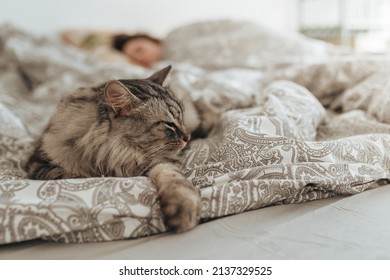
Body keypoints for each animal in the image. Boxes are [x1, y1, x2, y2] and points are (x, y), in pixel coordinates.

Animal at [25, 65, 201, 232]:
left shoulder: (155, 162)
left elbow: (176, 180)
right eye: (169, 124)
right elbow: (75, 175)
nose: (187, 137)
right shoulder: (41, 165)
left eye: (182, 119)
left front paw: (183, 210)